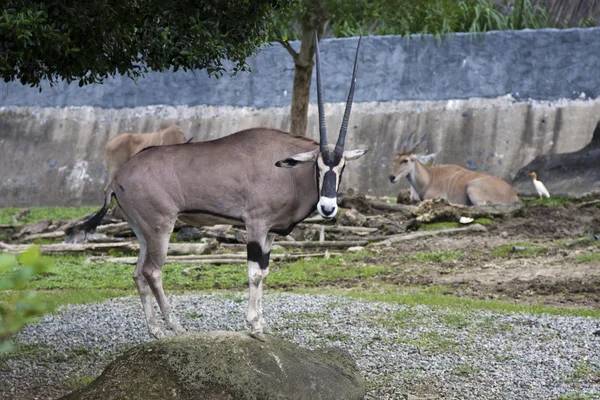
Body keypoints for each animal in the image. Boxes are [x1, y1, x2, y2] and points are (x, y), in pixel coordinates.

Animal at [76, 32, 366, 342]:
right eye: (318, 166)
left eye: (342, 167)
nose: (328, 207)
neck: (288, 171)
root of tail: (118, 177)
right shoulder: (256, 225)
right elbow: (254, 273)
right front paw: (254, 327)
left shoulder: (270, 232)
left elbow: (264, 273)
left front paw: (263, 323)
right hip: (160, 227)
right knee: (153, 271)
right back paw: (175, 326)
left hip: (142, 231)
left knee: (138, 273)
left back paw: (155, 330)